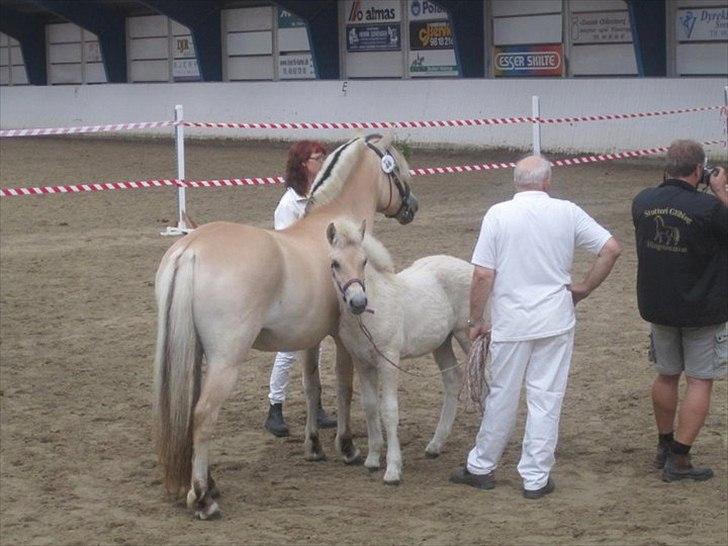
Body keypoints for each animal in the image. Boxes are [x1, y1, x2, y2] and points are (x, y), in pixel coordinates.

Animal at [152, 134, 416, 516]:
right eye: (398, 166)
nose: (412, 206)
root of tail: (191, 247)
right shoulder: (343, 338)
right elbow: (344, 387)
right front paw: (347, 447)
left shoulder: (309, 337)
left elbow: (311, 387)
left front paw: (314, 446)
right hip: (225, 362)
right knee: (203, 416)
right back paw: (203, 498)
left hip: (195, 353)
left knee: (189, 414)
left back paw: (210, 486)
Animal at [326, 219, 474, 482]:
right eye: (335, 263)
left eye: (364, 261)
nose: (358, 303)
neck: (370, 314)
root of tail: (468, 266)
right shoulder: (362, 363)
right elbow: (370, 406)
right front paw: (373, 459)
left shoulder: (388, 360)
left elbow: (389, 409)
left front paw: (393, 469)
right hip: (442, 343)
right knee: (452, 379)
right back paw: (435, 445)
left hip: (466, 335)